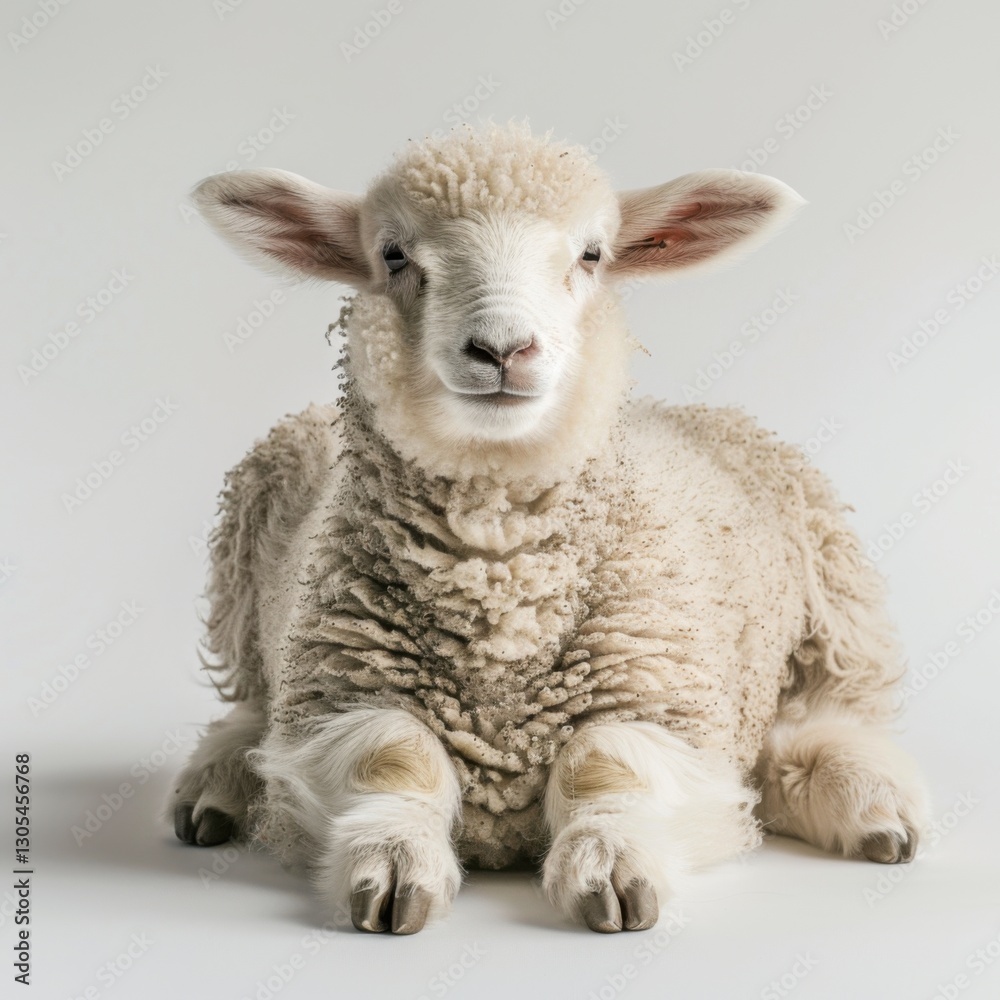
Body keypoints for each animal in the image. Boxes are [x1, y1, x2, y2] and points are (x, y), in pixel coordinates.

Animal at [168, 121, 928, 935]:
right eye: (394, 255)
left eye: (592, 254)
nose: (502, 349)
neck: (498, 569)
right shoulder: (336, 690)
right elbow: (395, 757)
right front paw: (394, 864)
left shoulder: (662, 693)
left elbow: (602, 762)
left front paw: (612, 864)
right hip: (246, 580)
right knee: (250, 705)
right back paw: (216, 787)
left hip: (835, 599)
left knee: (820, 717)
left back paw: (872, 804)